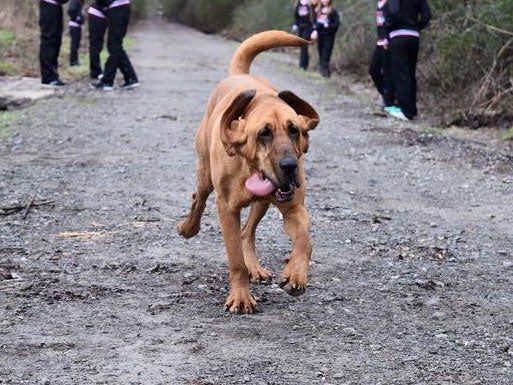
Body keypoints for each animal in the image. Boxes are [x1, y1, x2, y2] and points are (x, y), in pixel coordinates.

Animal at [178, 30, 318, 312]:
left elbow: (304, 240)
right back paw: (188, 228)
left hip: (262, 203)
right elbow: (235, 260)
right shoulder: (227, 209)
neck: (248, 166)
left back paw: (256, 268)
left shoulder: (294, 210)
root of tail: (238, 74)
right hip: (205, 175)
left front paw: (295, 275)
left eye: (294, 130)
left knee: (247, 233)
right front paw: (241, 297)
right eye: (264, 133)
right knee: (198, 199)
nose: (290, 166)